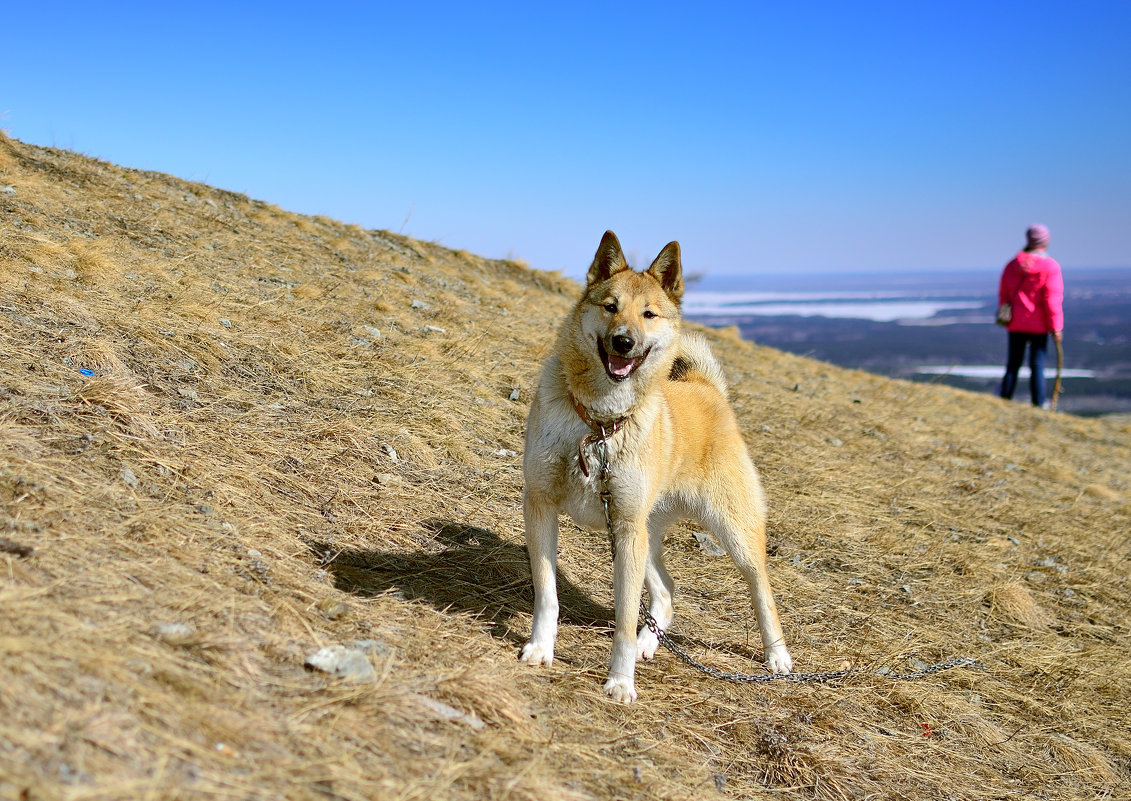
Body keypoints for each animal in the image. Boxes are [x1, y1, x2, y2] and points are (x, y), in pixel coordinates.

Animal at [517, 229, 791, 701]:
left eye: (648, 314)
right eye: (610, 306)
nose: (624, 341)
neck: (599, 423)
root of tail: (706, 388)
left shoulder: (626, 529)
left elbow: (625, 619)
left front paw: (620, 681)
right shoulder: (543, 506)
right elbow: (548, 596)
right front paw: (540, 648)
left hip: (728, 532)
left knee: (762, 591)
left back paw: (777, 656)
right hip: (646, 533)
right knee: (667, 591)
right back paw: (651, 642)